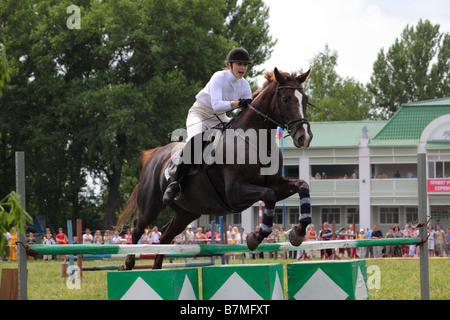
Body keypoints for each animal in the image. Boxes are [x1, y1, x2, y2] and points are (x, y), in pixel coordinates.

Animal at [115, 68, 312, 270]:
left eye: (305, 99)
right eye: (286, 99)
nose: (304, 137)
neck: (255, 141)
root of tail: (153, 155)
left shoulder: (276, 184)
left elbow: (302, 186)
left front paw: (298, 232)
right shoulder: (235, 193)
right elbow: (268, 195)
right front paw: (255, 237)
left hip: (187, 212)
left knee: (165, 237)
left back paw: (156, 268)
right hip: (151, 205)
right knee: (138, 228)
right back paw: (127, 264)